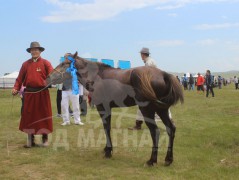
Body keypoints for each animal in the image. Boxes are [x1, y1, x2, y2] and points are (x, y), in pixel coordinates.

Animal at [45, 51, 184, 166]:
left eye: (64, 63)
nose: (48, 77)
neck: (97, 76)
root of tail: (164, 74)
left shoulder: (103, 107)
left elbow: (106, 128)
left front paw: (108, 151)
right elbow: (108, 127)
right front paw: (107, 149)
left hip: (147, 110)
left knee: (155, 131)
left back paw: (151, 161)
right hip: (161, 109)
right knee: (171, 129)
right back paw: (168, 159)